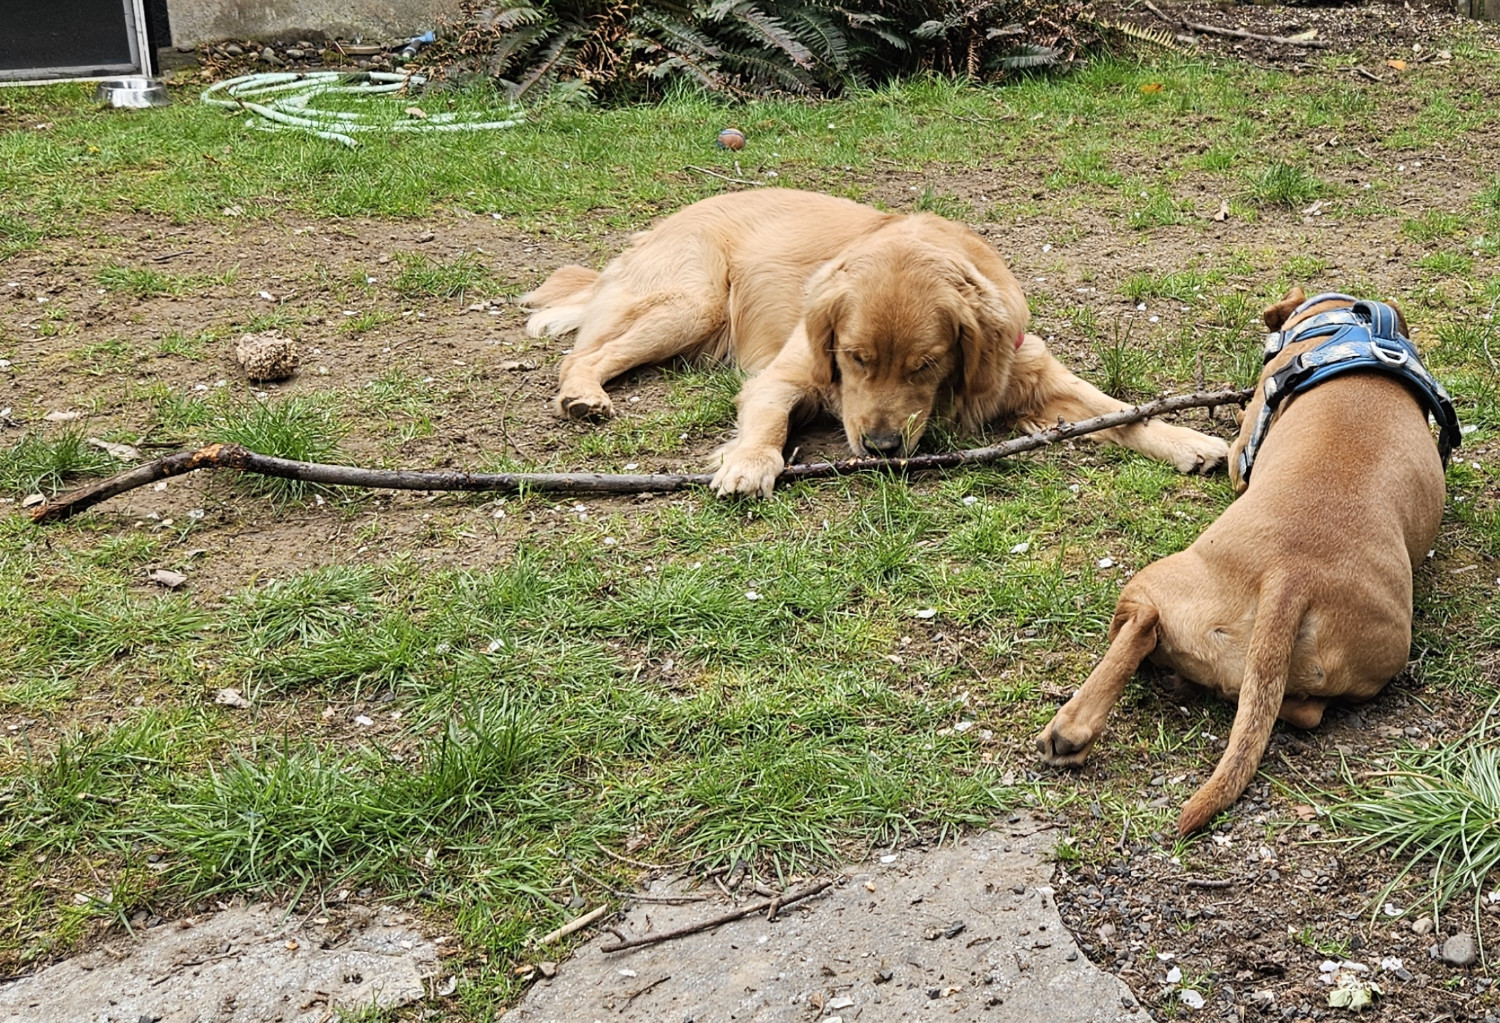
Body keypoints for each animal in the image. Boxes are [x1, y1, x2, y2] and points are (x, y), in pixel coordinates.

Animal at [1032, 291, 1452, 834]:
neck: (1349, 324)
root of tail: (1293, 577)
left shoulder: (1242, 448)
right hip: (1356, 665)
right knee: (1298, 711)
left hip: (1155, 583)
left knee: (1141, 626)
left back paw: (1071, 729)